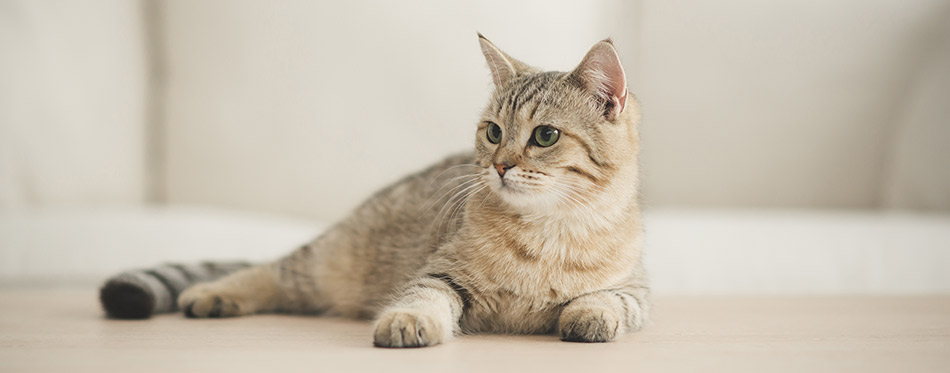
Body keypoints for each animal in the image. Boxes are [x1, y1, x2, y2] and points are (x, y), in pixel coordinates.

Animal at [98, 34, 648, 346]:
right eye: (493, 132)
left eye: (546, 136)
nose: (499, 165)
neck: (548, 230)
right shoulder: (440, 271)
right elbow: (423, 296)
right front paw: (408, 321)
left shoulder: (637, 290)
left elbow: (611, 301)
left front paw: (588, 314)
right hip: (328, 260)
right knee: (271, 271)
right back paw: (212, 293)